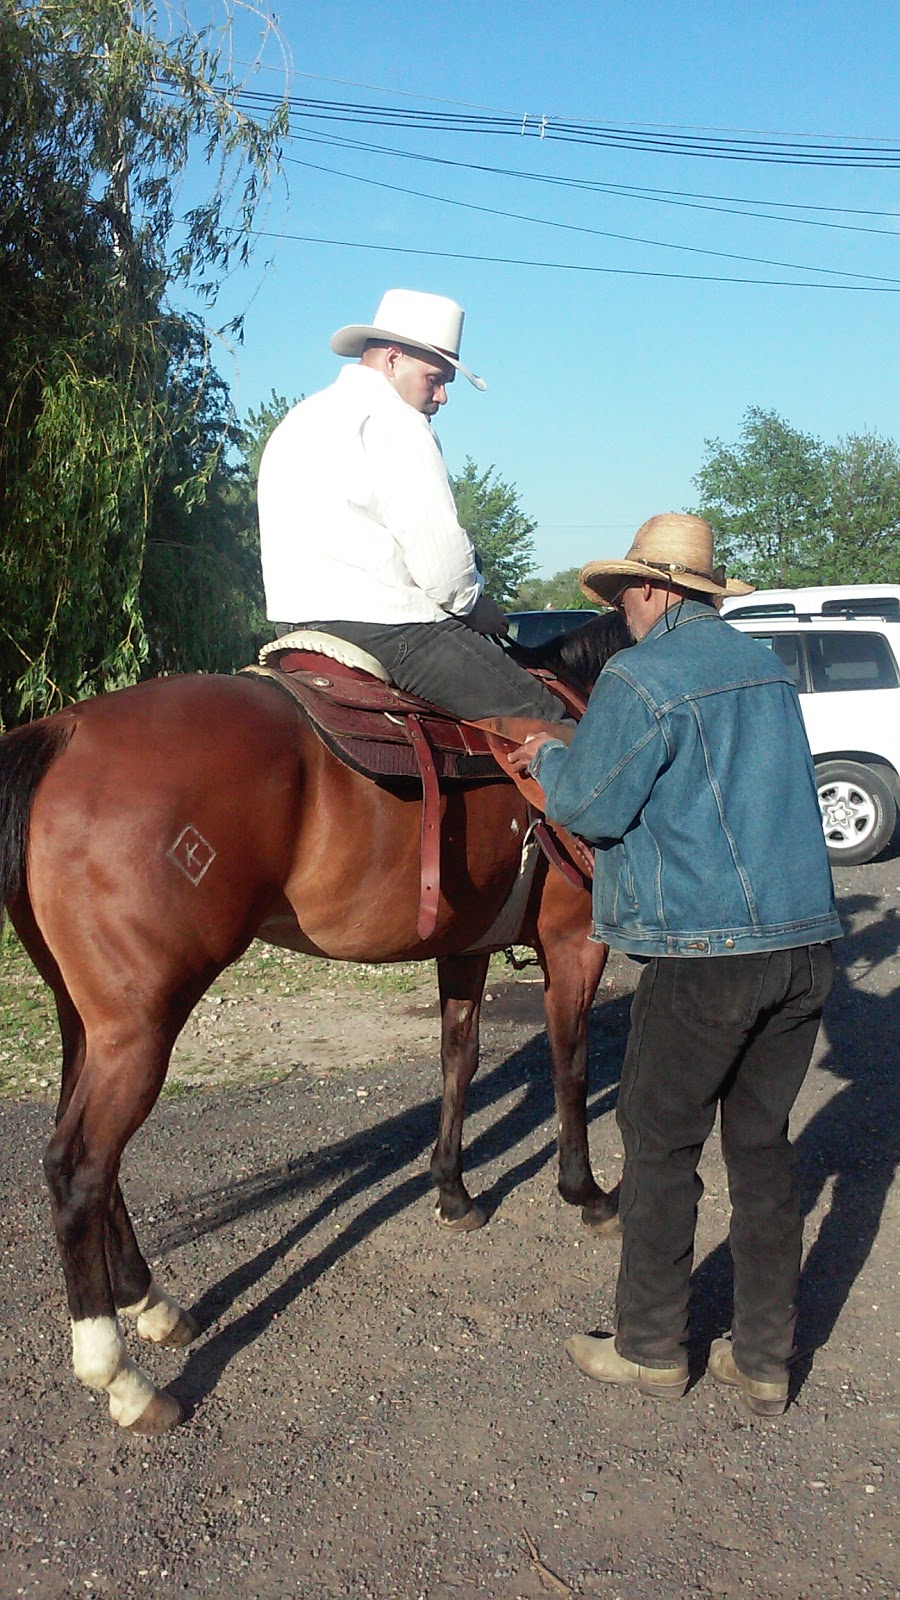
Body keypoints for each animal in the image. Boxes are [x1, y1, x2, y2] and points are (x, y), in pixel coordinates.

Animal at [1, 620, 624, 1440]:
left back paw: (153, 1306)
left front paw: (453, 1192)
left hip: (89, 1020)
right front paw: (586, 1192)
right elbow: (570, 1064)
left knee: (96, 1165)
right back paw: (123, 1379)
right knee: (78, 1168)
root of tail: (64, 728)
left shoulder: (464, 947)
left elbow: (458, 1059)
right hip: (139, 1025)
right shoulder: (574, 939)